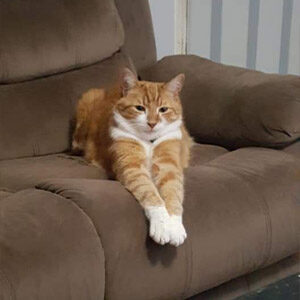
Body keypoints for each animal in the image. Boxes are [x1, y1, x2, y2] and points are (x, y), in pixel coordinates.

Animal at [72, 68, 192, 246]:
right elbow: (151, 194)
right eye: (140, 108)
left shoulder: (169, 166)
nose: (152, 123)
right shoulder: (132, 167)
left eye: (163, 109)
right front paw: (162, 227)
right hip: (87, 102)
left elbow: (173, 193)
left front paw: (175, 228)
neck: (149, 141)